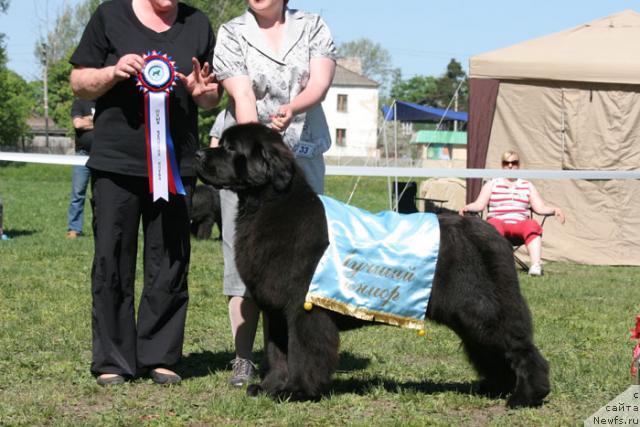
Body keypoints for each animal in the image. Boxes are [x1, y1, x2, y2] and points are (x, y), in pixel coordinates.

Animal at [195, 123, 552, 408]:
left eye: (230, 148)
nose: (198, 154)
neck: (267, 207)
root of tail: (491, 231)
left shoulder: (303, 308)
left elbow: (302, 352)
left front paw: (298, 391)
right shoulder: (276, 311)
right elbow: (277, 351)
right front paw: (269, 388)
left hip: (481, 309)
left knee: (521, 348)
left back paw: (527, 396)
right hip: (468, 315)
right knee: (489, 351)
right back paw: (496, 388)